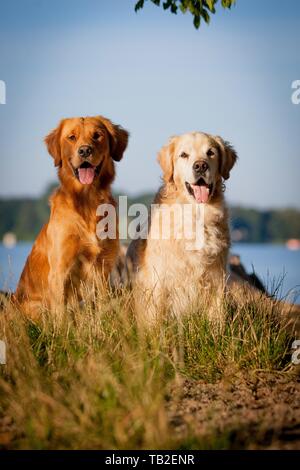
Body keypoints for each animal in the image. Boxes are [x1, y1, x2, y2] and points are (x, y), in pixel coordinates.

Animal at [15, 116, 127, 320]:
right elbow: (60, 315)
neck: (88, 200)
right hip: (36, 307)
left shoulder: (103, 267)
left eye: (97, 135)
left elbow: (103, 302)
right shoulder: (60, 271)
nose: (84, 150)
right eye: (71, 137)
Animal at [126, 129, 237, 326]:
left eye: (210, 152)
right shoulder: (159, 282)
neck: (196, 214)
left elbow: (217, 319)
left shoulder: (217, 279)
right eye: (184, 155)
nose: (200, 166)